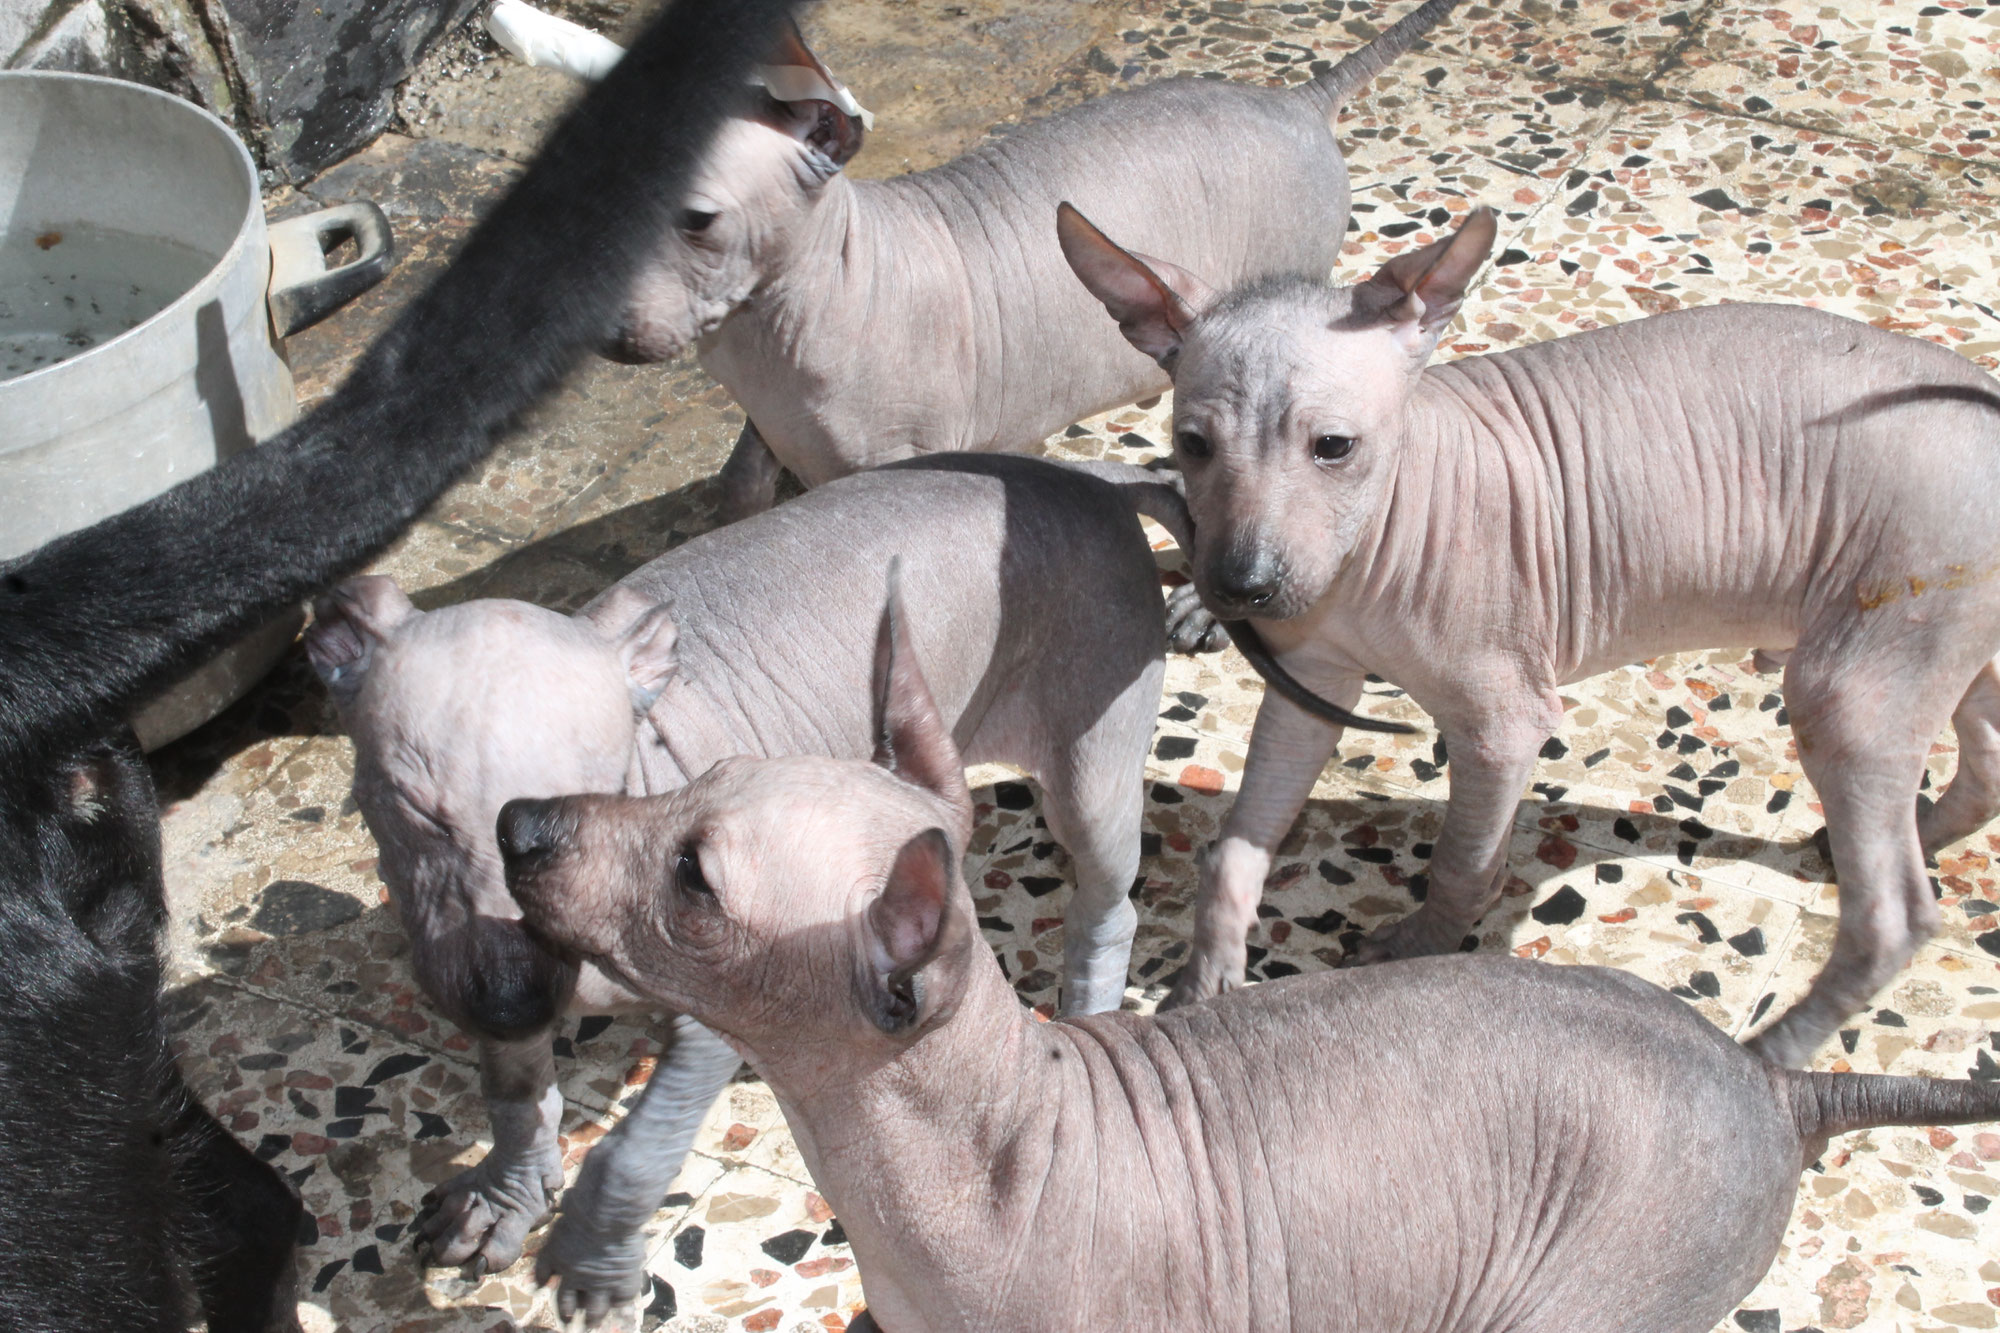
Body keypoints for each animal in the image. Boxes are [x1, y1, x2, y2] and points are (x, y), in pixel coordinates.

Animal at [306, 454, 1192, 1320]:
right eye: (411, 805)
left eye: (603, 779)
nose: (513, 1002)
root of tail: (1087, 478)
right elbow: (514, 1089)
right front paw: (506, 1191)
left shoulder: (723, 991)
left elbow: (644, 1139)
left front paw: (594, 1246)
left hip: (1092, 747)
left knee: (1109, 897)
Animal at [600, 0, 1464, 528]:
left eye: (695, 220)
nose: (597, 330)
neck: (760, 342)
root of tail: (1297, 99)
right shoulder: (765, 414)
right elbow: (742, 478)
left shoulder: (904, 457)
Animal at [1064, 202, 2000, 1064]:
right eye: (1191, 444)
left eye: (1333, 446)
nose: (1241, 586)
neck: (1374, 552)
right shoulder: (1312, 683)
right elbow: (1235, 848)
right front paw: (1206, 979)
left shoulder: (1503, 724)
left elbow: (1463, 858)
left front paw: (1420, 949)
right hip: (1955, 645)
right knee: (1983, 758)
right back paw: (1914, 832)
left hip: (1865, 668)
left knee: (1896, 915)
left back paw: (1769, 1057)